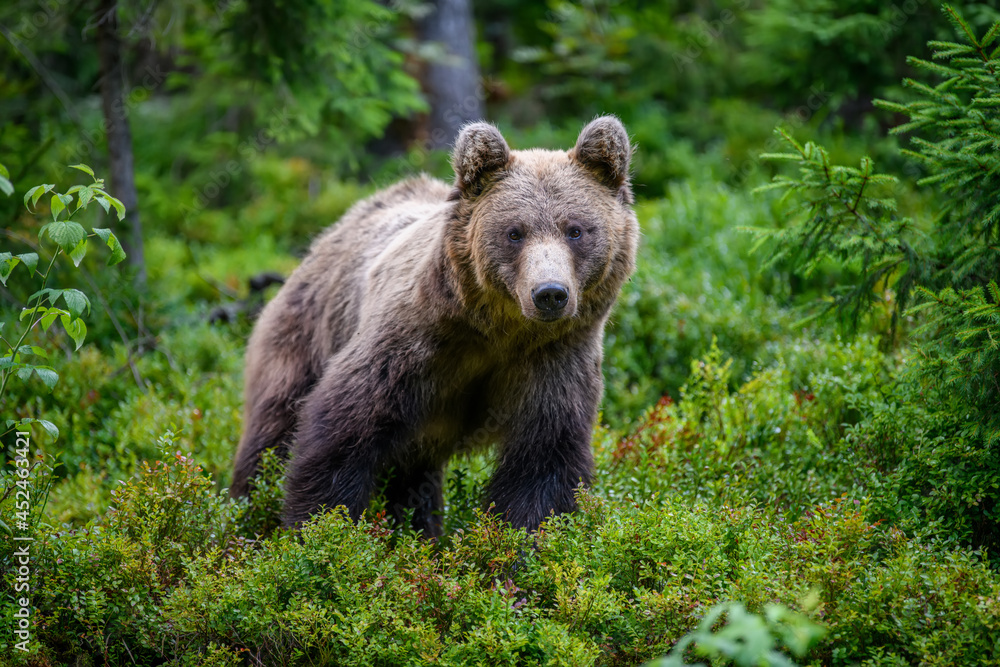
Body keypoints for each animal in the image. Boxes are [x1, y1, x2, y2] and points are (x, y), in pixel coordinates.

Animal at [232, 116, 640, 536]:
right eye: (515, 232)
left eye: (575, 230)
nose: (550, 293)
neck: (500, 332)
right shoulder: (413, 343)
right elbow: (341, 432)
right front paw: (321, 527)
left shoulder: (554, 359)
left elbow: (542, 464)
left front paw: (518, 541)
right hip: (304, 334)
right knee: (273, 428)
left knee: (413, 476)